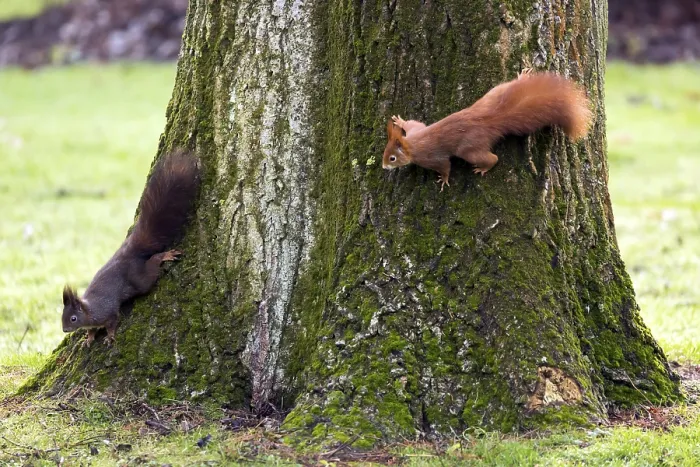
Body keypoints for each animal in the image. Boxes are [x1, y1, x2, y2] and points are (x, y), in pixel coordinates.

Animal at [61, 150, 200, 347]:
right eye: (62, 317)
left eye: (73, 318)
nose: (65, 329)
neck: (89, 310)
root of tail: (128, 253)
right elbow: (91, 330)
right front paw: (88, 339)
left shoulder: (107, 312)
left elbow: (112, 322)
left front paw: (110, 337)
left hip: (139, 279)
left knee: (150, 270)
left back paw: (163, 256)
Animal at [382, 69, 592, 190]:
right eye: (385, 153)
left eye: (392, 158)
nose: (384, 167)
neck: (411, 145)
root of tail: (489, 121)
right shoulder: (415, 131)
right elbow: (413, 124)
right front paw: (400, 121)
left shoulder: (431, 157)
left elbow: (445, 165)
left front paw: (444, 179)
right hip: (493, 94)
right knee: (505, 87)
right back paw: (522, 77)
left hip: (469, 148)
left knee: (492, 158)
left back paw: (484, 167)